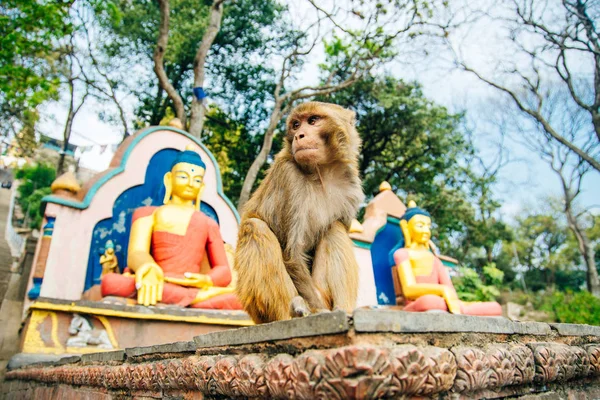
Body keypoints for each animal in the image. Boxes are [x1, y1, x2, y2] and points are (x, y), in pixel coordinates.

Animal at [234, 101, 366, 324]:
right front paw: (320, 313)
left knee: (335, 227)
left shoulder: (351, 186)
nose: (299, 136)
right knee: (254, 227)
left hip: (321, 291)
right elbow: (293, 254)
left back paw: (342, 309)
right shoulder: (289, 175)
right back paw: (294, 312)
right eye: (296, 125)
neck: (321, 173)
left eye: (312, 121)